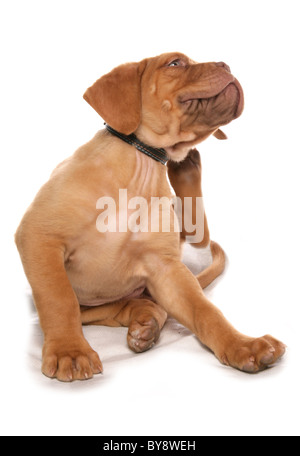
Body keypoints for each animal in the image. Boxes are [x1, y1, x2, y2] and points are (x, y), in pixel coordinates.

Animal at [14, 52, 286, 382]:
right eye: (175, 64)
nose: (227, 65)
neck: (139, 163)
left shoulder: (165, 268)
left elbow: (205, 311)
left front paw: (242, 345)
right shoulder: (39, 236)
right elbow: (58, 300)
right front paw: (70, 351)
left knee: (141, 304)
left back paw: (146, 323)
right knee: (86, 311)